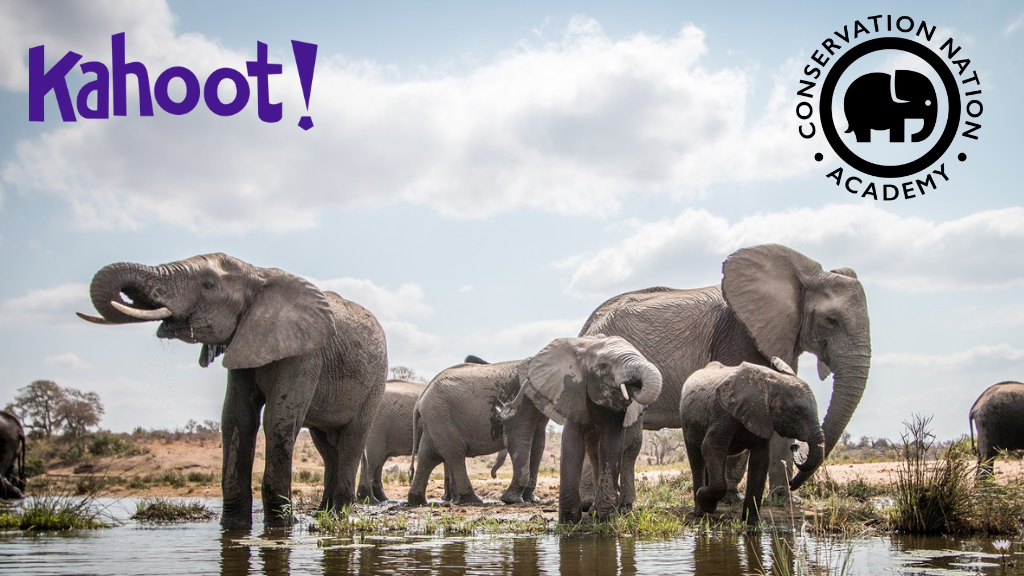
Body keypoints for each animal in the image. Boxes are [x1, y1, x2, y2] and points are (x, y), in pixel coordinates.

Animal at [78, 253, 388, 528]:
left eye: (208, 285)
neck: (257, 273)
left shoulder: (306, 354)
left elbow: (278, 420)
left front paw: (282, 526)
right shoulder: (242, 343)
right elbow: (237, 418)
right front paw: (234, 526)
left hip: (375, 382)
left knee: (351, 440)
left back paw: (336, 516)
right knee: (326, 446)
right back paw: (322, 514)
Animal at [407, 358, 549, 507]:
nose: (494, 476)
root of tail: (420, 400)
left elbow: (538, 444)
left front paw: (532, 499)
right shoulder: (521, 402)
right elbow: (518, 440)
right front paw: (513, 500)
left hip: (434, 420)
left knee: (427, 456)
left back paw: (417, 501)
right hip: (440, 416)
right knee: (455, 454)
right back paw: (473, 499)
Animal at [507, 335, 662, 523]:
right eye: (603, 366)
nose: (633, 385)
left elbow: (611, 446)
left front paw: (606, 519)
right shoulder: (571, 393)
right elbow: (573, 445)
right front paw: (569, 522)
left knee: (625, 450)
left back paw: (618, 509)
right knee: (594, 453)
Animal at [680, 359, 824, 524]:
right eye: (796, 412)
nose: (795, 446)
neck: (771, 383)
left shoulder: (762, 417)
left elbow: (761, 460)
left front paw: (754, 523)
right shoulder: (723, 412)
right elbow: (710, 446)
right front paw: (704, 500)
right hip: (688, 422)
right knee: (697, 459)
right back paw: (701, 512)